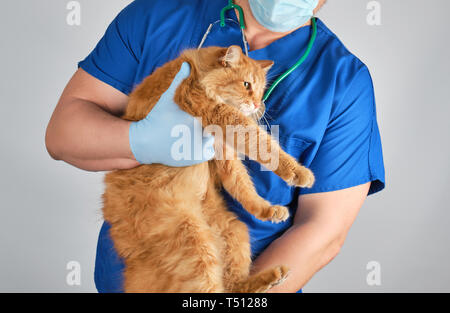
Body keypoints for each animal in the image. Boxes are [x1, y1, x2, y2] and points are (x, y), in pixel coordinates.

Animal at [102, 45, 314, 292]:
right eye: (246, 85)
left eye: (261, 91)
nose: (255, 104)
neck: (200, 73)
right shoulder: (219, 114)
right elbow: (262, 143)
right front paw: (299, 172)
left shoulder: (223, 152)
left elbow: (243, 186)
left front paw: (266, 209)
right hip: (194, 245)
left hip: (234, 230)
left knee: (233, 285)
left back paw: (272, 278)